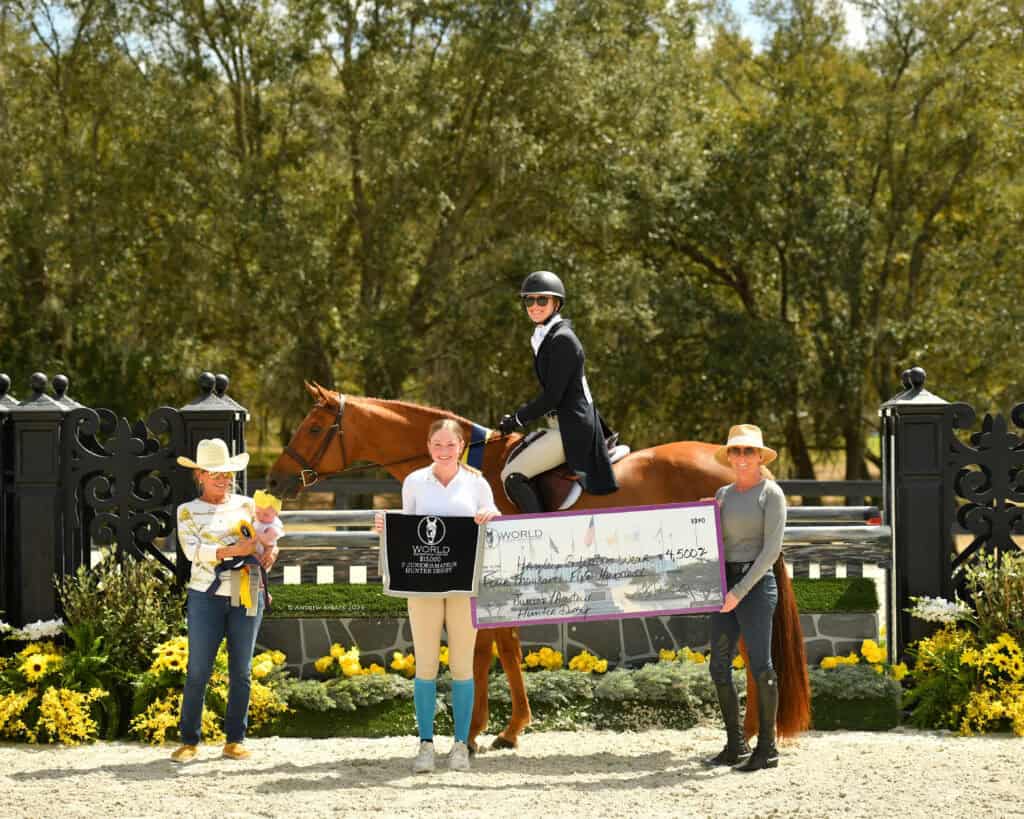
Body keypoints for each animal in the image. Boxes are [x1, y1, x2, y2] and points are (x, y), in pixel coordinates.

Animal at [267, 384, 811, 749]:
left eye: (313, 428)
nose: (275, 481)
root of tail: (738, 464)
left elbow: (484, 651)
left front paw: (477, 732)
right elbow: (506, 648)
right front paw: (509, 729)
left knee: (749, 640)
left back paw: (751, 735)